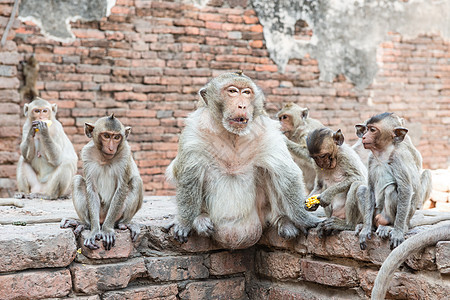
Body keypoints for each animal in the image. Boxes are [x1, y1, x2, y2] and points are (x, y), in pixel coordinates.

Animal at [60, 113, 143, 250]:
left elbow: (121, 188)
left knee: (136, 181)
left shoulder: (125, 153)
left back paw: (123, 224)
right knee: (77, 180)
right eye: (106, 136)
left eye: (116, 137)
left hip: (117, 214)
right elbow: (91, 188)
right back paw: (85, 224)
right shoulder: (87, 154)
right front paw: (94, 231)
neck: (105, 158)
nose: (111, 148)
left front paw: (107, 230)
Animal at [166, 71, 320, 250]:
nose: (242, 106)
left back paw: (283, 220)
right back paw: (200, 219)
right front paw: (184, 222)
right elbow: (189, 174)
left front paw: (304, 219)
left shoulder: (266, 130)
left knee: (269, 171)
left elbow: (285, 172)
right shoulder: (194, 130)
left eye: (246, 92)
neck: (232, 135)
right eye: (232, 91)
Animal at [356, 112, 432, 248]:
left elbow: (406, 190)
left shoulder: (398, 158)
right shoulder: (371, 159)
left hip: (390, 216)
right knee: (361, 190)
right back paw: (369, 226)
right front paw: (365, 229)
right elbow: (370, 189)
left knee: (391, 189)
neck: (382, 153)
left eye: (372, 130)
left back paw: (389, 226)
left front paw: (397, 232)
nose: (364, 136)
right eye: (366, 129)